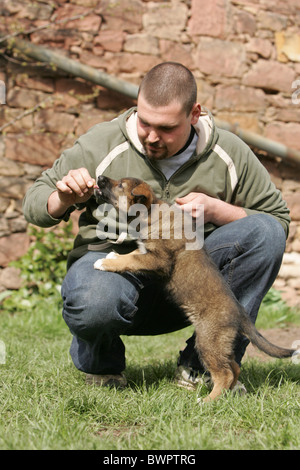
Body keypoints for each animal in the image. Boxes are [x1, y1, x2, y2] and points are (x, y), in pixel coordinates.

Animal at [94, 174, 298, 402]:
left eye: (120, 185)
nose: (99, 177)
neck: (152, 214)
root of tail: (240, 313)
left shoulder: (158, 260)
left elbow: (131, 259)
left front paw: (105, 263)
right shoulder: (149, 255)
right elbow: (131, 255)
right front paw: (113, 256)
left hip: (208, 341)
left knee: (225, 373)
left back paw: (208, 401)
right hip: (221, 344)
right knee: (234, 367)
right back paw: (226, 394)